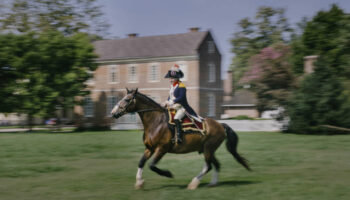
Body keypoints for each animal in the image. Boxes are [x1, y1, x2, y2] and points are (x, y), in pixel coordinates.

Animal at [110, 88, 250, 189]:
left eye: (127, 99)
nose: (113, 113)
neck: (156, 122)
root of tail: (220, 125)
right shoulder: (149, 148)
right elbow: (141, 163)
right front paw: (139, 182)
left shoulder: (162, 149)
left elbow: (152, 166)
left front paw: (168, 174)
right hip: (208, 150)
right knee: (215, 165)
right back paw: (212, 183)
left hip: (208, 149)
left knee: (209, 166)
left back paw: (194, 183)